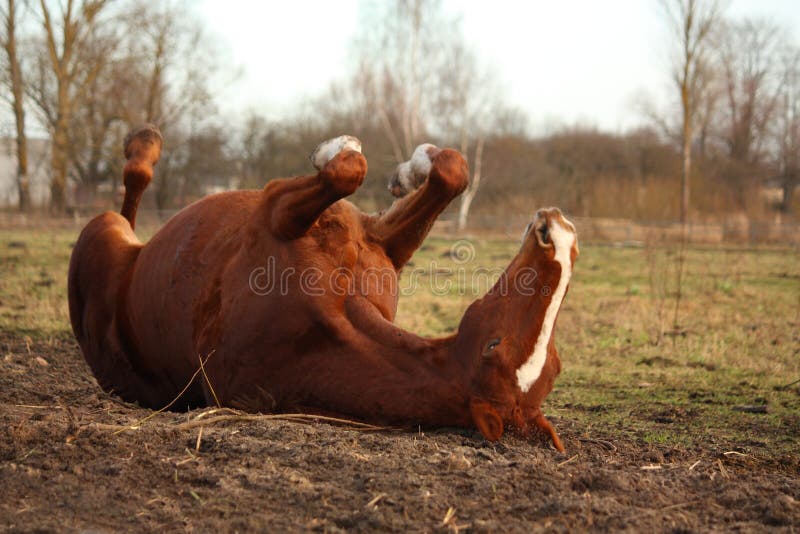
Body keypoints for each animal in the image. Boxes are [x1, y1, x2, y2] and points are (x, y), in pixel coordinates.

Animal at [69, 126, 580, 452]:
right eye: (495, 343)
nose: (558, 234)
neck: (324, 323)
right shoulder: (378, 239)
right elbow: (449, 172)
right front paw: (409, 170)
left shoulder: (278, 211)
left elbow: (346, 168)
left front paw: (336, 148)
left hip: (102, 230)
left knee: (133, 186)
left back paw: (143, 146)